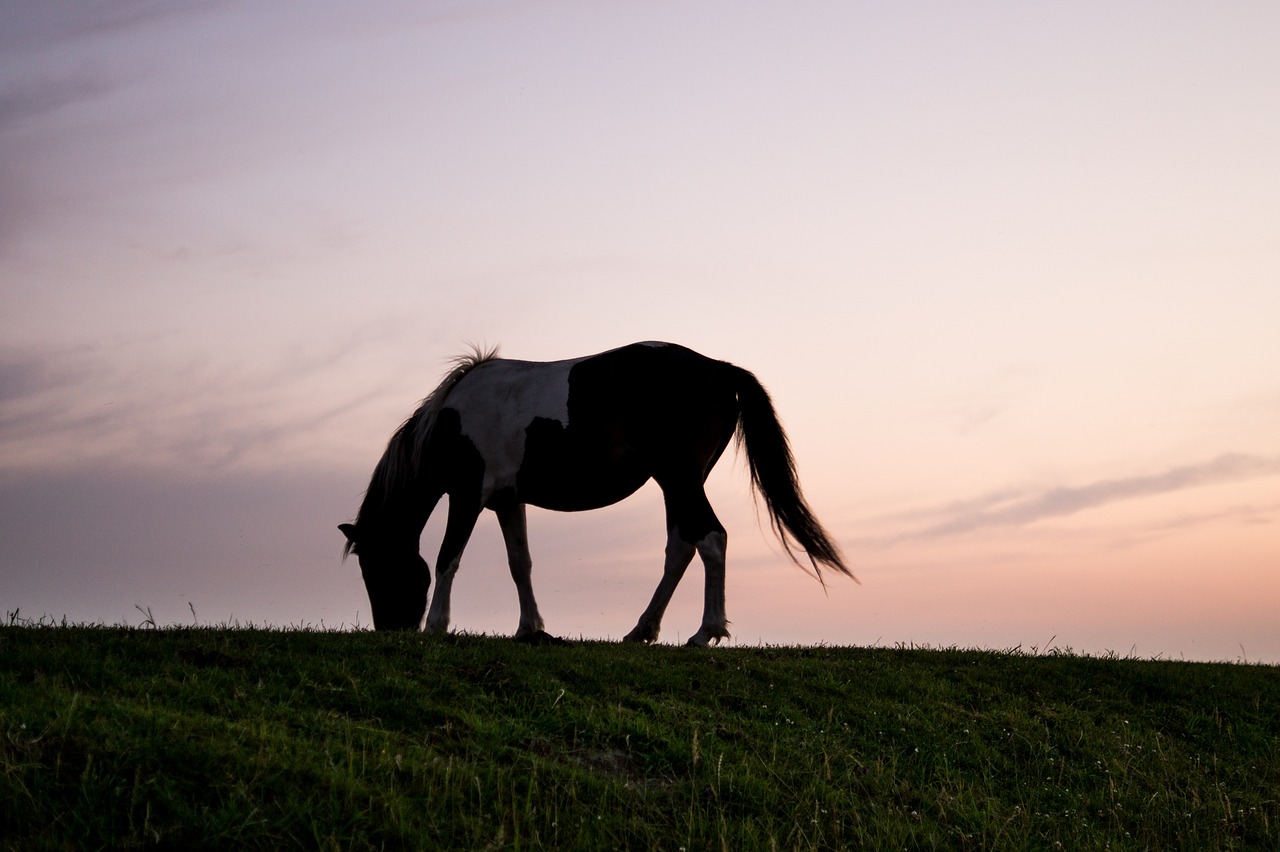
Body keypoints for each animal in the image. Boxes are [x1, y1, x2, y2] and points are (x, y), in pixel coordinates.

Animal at [343, 337, 849, 644]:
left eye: (376, 568)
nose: (390, 629)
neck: (452, 419)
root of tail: (718, 369)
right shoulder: (507, 500)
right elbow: (520, 563)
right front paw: (531, 628)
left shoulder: (468, 495)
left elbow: (448, 557)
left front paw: (437, 626)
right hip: (678, 483)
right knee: (681, 547)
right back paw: (643, 630)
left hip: (680, 478)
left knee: (711, 539)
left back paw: (705, 632)